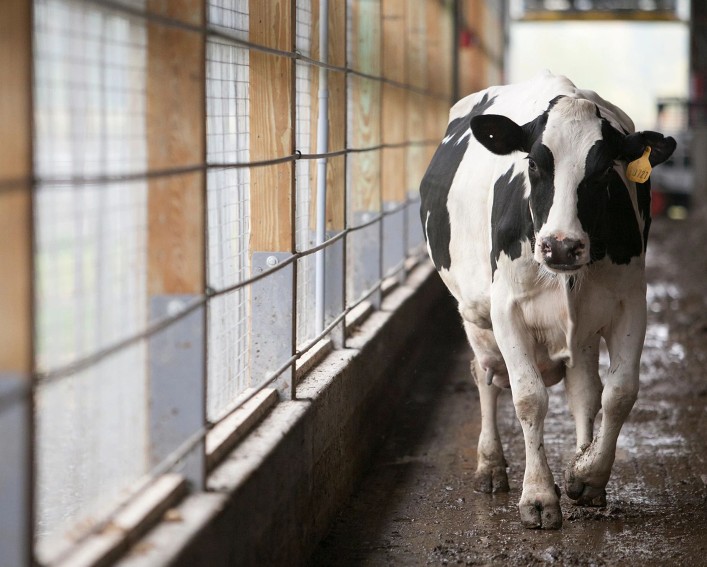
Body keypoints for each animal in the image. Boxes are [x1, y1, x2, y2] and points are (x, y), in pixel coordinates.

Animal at [420, 71, 676, 529]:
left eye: (604, 171)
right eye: (535, 163)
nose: (560, 246)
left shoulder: (631, 301)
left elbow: (618, 393)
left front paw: (588, 475)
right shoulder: (506, 309)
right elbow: (528, 397)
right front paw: (538, 495)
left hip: (584, 325)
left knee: (584, 389)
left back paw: (580, 461)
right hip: (474, 313)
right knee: (484, 373)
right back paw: (490, 465)